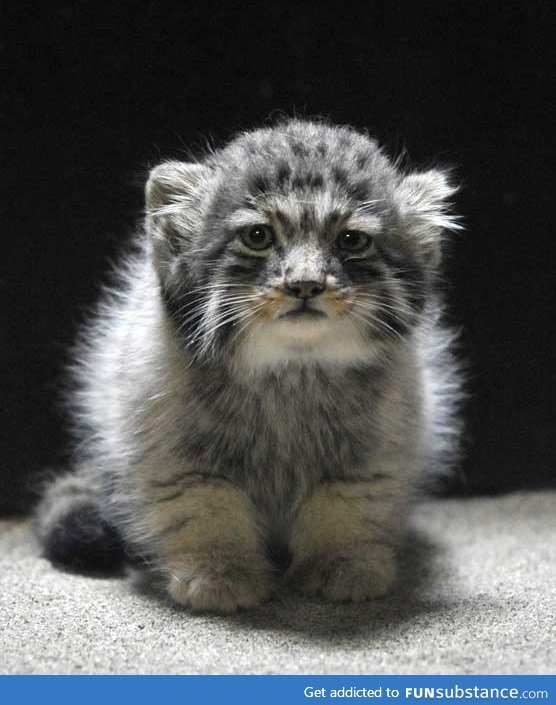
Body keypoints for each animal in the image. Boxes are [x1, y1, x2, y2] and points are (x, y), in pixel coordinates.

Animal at [33, 118, 460, 608]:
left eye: (352, 240)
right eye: (258, 237)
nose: (305, 284)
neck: (290, 374)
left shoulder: (374, 454)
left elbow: (342, 507)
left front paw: (343, 563)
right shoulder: (174, 456)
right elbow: (207, 508)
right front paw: (219, 572)